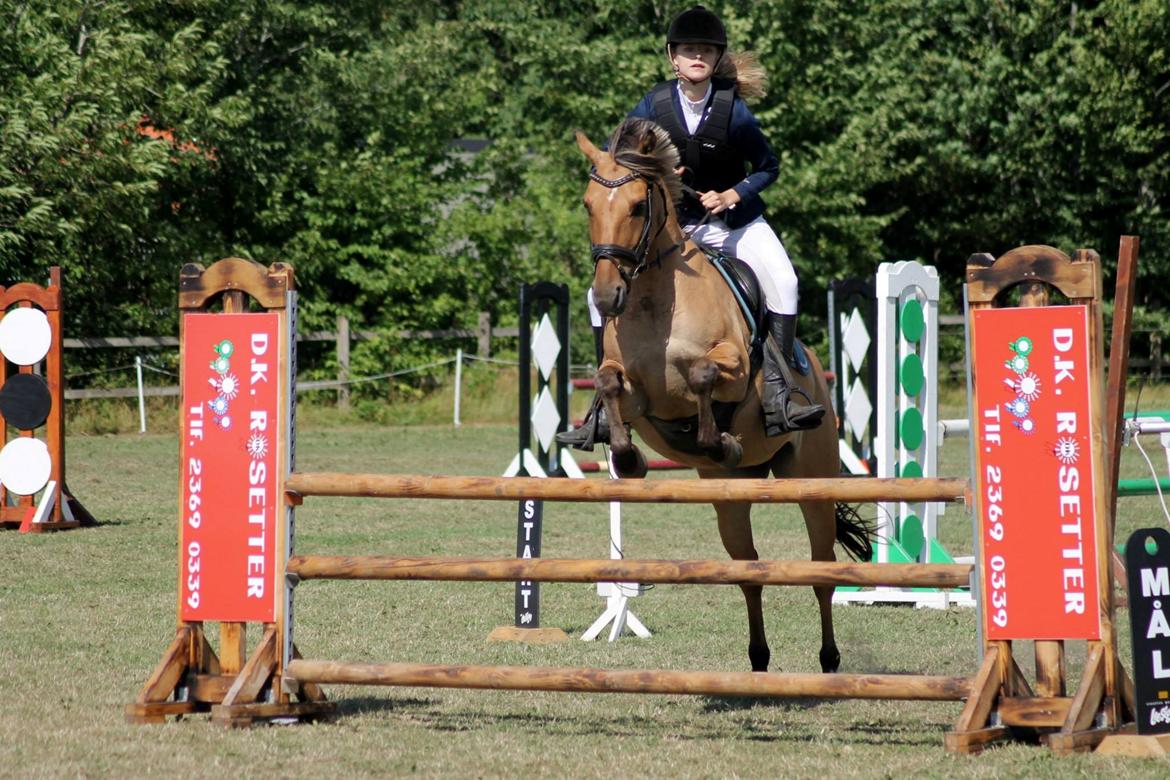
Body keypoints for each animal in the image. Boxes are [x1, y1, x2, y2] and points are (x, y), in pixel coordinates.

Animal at [575, 119, 870, 673]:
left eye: (638, 207)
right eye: (588, 205)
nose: (606, 297)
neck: (654, 299)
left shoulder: (731, 367)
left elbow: (705, 373)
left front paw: (719, 438)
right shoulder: (638, 396)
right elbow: (608, 384)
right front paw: (627, 459)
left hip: (811, 482)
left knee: (821, 571)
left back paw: (829, 660)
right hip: (730, 499)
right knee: (748, 571)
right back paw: (758, 659)